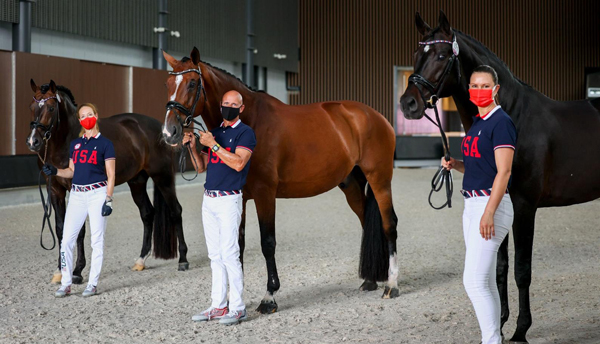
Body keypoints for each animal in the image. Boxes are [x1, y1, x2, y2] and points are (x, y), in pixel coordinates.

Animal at [26, 78, 188, 284]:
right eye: (32, 107)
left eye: (51, 108)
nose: (33, 141)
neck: (65, 142)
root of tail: (163, 130)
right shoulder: (54, 189)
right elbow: (61, 228)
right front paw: (60, 271)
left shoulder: (78, 189)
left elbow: (79, 231)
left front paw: (77, 271)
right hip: (136, 182)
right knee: (147, 213)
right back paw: (140, 260)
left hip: (162, 177)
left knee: (176, 211)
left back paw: (183, 260)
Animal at [162, 48, 400, 314]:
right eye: (168, 83)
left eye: (193, 83)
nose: (170, 132)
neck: (250, 120)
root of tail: (375, 116)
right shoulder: (239, 197)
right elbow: (237, 245)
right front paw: (235, 300)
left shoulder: (265, 194)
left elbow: (267, 243)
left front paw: (269, 297)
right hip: (352, 186)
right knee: (366, 223)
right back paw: (370, 280)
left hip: (380, 179)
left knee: (389, 224)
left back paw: (392, 285)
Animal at [400, 10, 600, 342]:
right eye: (417, 55)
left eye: (441, 55)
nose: (408, 103)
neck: (515, 116)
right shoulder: (499, 206)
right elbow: (501, 267)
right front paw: (502, 320)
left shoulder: (524, 207)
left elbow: (522, 270)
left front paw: (521, 329)